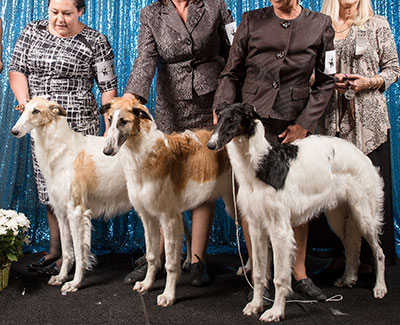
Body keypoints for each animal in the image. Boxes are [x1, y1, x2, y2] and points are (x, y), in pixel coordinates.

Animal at [99, 97, 234, 306]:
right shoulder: (148, 217)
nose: (107, 151)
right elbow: (152, 256)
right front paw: (146, 284)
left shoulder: (167, 217)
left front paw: (169, 295)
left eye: (124, 121)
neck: (143, 155)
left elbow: (170, 263)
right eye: (110, 119)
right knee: (189, 232)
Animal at [208, 102, 386, 320]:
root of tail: (359, 152)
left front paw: (275, 311)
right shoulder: (256, 226)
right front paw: (255, 304)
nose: (211, 145)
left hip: (364, 214)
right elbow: (258, 274)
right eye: (219, 117)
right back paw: (348, 278)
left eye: (232, 120)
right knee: (352, 244)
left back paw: (380, 288)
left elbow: (279, 278)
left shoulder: (280, 229)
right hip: (337, 216)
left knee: (378, 251)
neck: (262, 163)